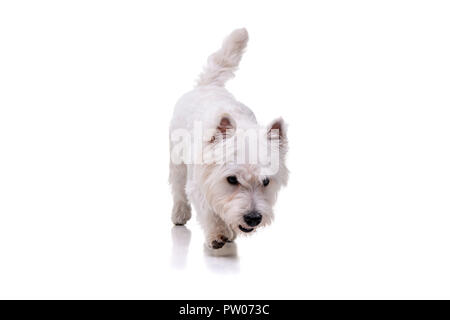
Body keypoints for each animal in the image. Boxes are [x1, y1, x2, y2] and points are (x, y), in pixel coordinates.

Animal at [169, 28, 288, 249]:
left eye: (266, 181)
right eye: (232, 179)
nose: (253, 218)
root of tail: (207, 85)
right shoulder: (199, 183)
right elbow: (208, 210)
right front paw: (218, 234)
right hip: (177, 160)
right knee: (178, 189)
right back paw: (179, 214)